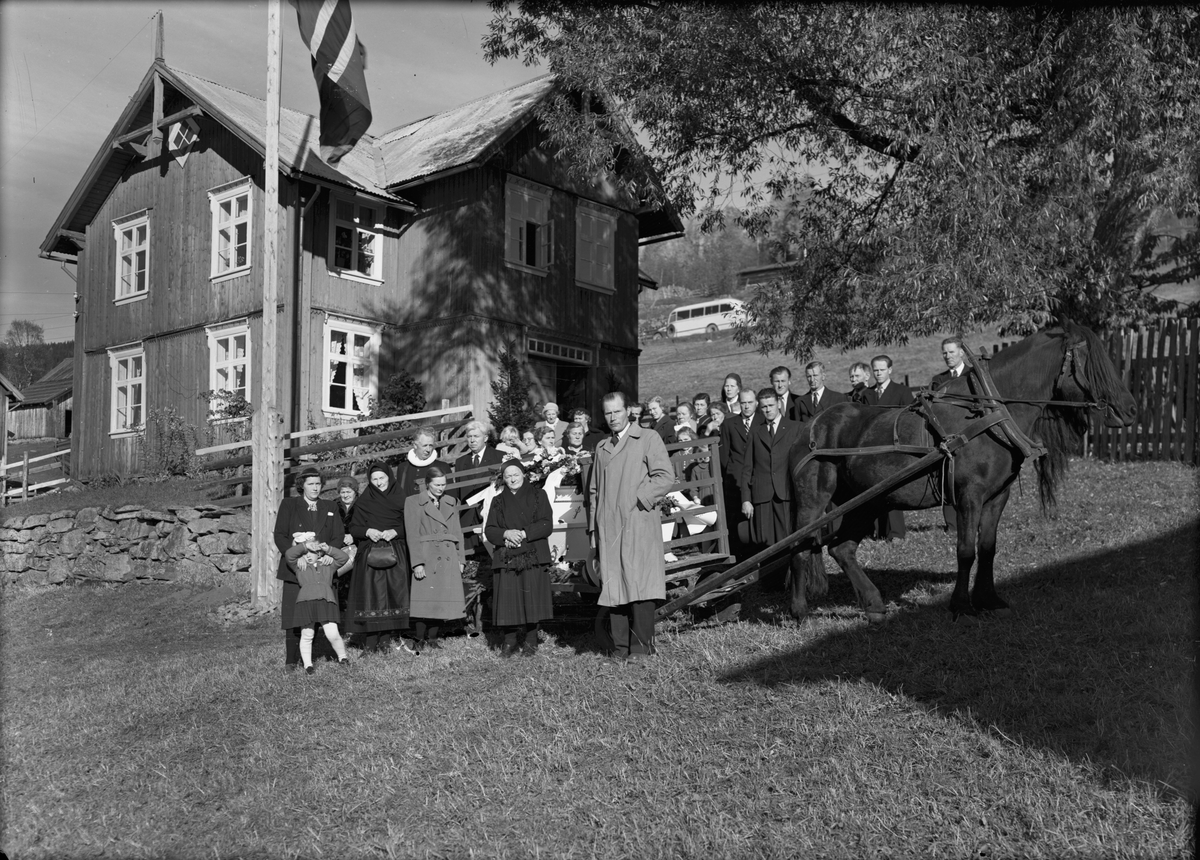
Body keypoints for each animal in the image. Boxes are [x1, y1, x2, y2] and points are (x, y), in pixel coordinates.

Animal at [792, 319, 1137, 618]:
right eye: (1093, 362)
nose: (1130, 410)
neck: (990, 413)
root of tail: (811, 425)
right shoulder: (969, 496)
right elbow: (966, 550)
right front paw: (961, 605)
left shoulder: (997, 496)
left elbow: (987, 548)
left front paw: (988, 599)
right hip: (815, 500)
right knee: (800, 546)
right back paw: (800, 611)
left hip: (866, 501)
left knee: (842, 549)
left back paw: (874, 605)